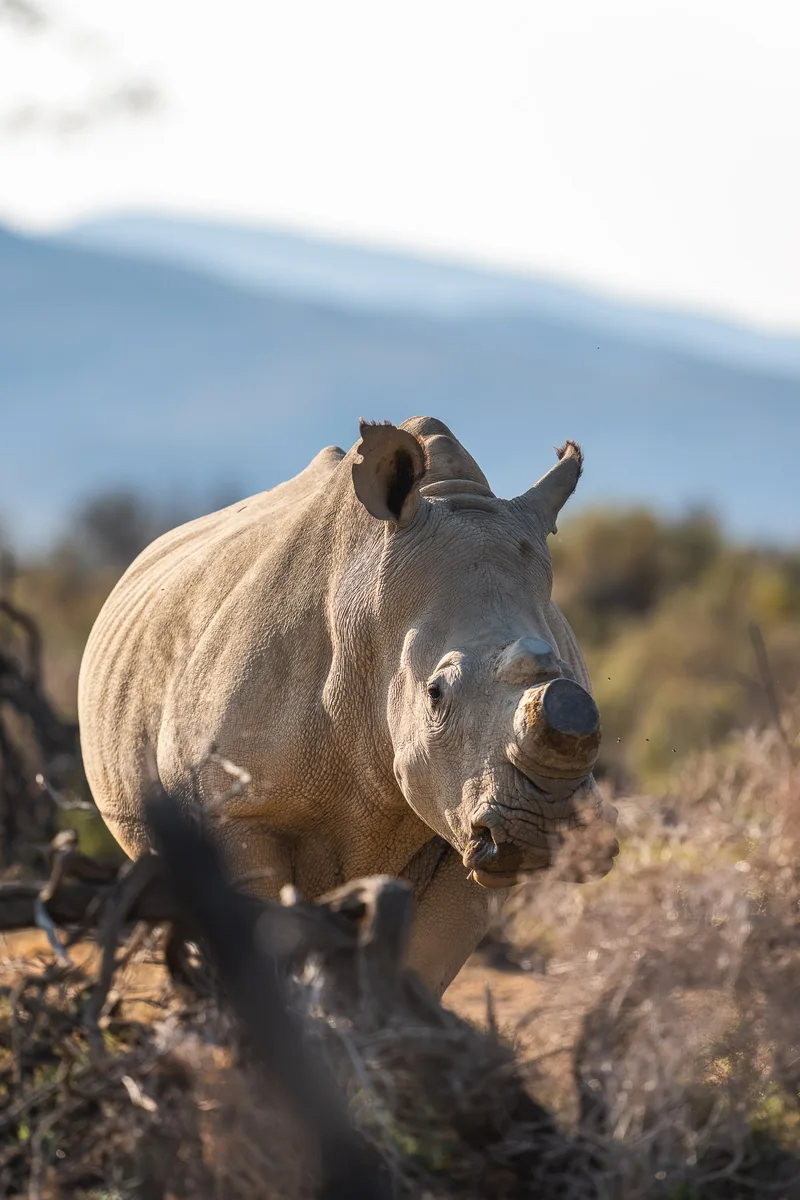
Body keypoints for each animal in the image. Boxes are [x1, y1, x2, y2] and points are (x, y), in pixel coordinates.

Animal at [78, 416, 617, 994]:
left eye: (574, 680)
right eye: (435, 694)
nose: (548, 827)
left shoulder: (465, 823)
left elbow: (420, 965)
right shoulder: (233, 812)